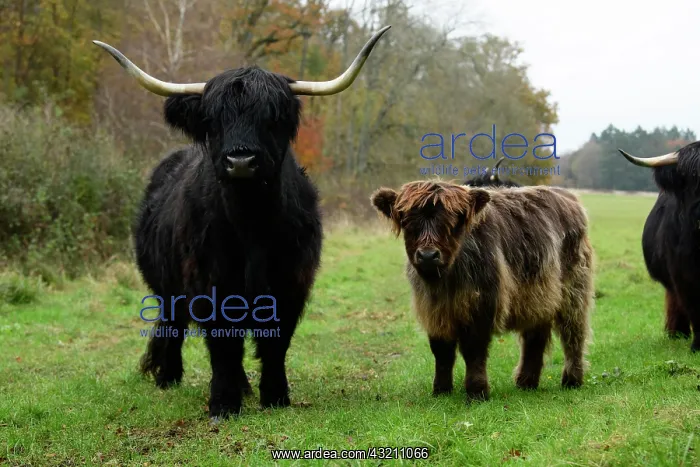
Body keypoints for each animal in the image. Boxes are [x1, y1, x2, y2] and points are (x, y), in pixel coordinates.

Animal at [93, 26, 391, 419]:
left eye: (271, 118)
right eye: (214, 120)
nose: (241, 162)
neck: (251, 224)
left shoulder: (291, 281)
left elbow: (275, 342)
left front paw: (275, 397)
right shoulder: (211, 282)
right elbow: (223, 345)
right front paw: (222, 403)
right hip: (163, 284)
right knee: (172, 325)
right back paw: (168, 378)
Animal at [370, 181, 594, 402]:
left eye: (452, 222)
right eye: (408, 222)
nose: (427, 255)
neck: (446, 282)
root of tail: (568, 196)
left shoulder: (482, 305)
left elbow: (473, 350)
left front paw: (477, 392)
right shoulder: (434, 312)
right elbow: (442, 352)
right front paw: (441, 391)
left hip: (574, 291)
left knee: (573, 335)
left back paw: (572, 380)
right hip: (539, 297)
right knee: (535, 337)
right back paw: (526, 382)